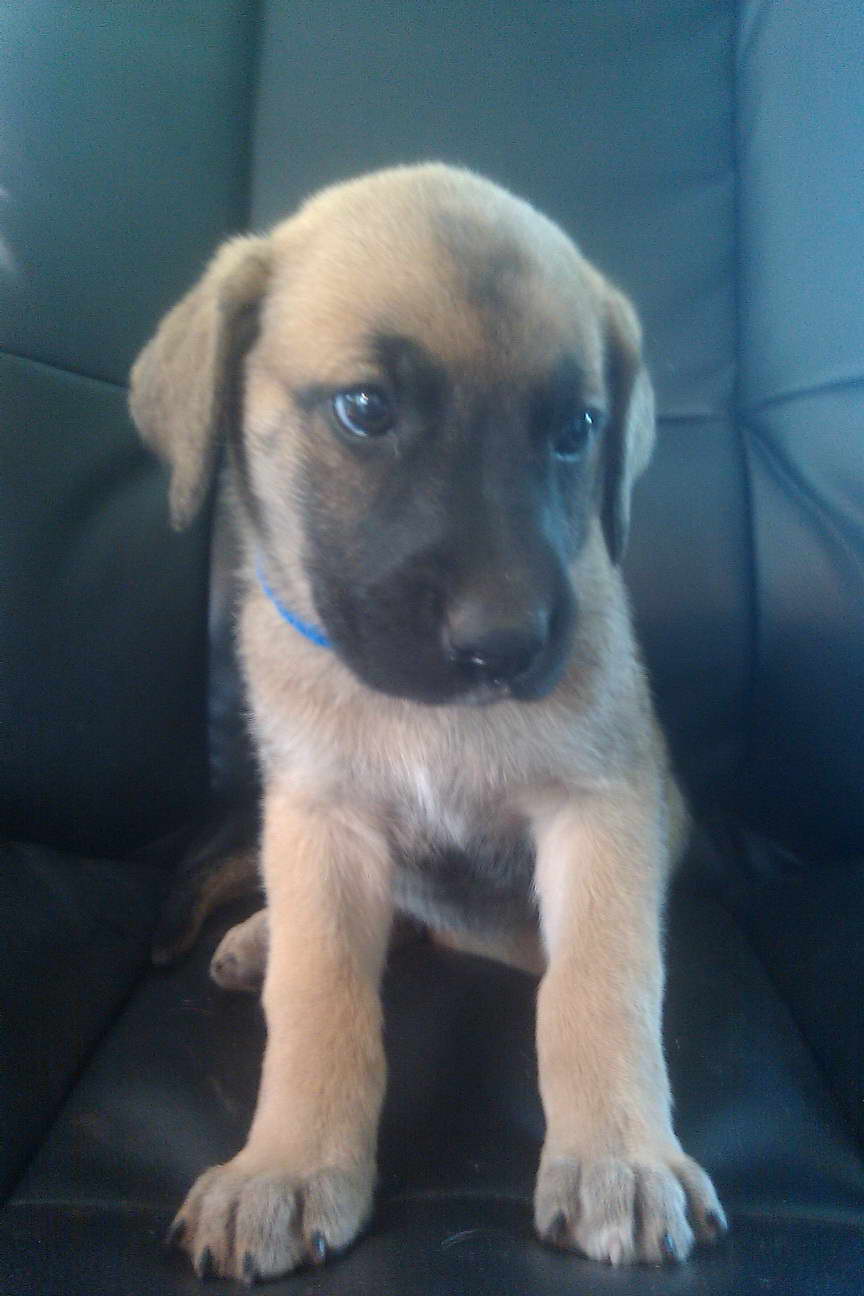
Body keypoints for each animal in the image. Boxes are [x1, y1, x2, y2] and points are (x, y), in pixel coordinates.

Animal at [133, 164, 730, 1285]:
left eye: (576, 429)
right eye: (365, 409)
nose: (504, 643)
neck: (426, 721)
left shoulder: (601, 808)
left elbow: (600, 986)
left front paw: (619, 1159)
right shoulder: (319, 819)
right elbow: (321, 1000)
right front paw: (288, 1164)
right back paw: (262, 936)